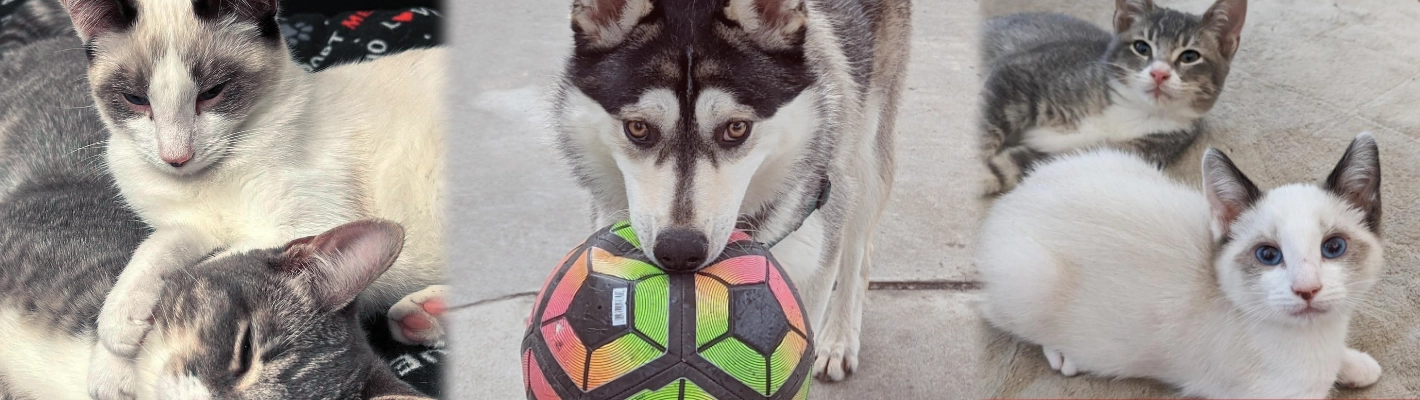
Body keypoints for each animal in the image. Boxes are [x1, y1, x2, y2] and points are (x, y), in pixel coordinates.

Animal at [550, 0, 908, 380]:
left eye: (736, 128)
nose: (680, 250)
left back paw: (839, 338)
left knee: (858, 249)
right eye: (638, 128)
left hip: (864, 160)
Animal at [976, 132, 1385, 397]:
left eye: (1333, 247)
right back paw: (1062, 351)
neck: (1314, 339)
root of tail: (1012, 199)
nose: (1307, 289)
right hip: (1029, 280)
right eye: (1268, 255)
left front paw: (1355, 365)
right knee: (994, 310)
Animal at [982, 0, 1249, 194]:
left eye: (1190, 56)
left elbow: (1009, 166)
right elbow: (985, 130)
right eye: (1142, 47)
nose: (1159, 73)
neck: (1133, 110)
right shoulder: (1020, 73)